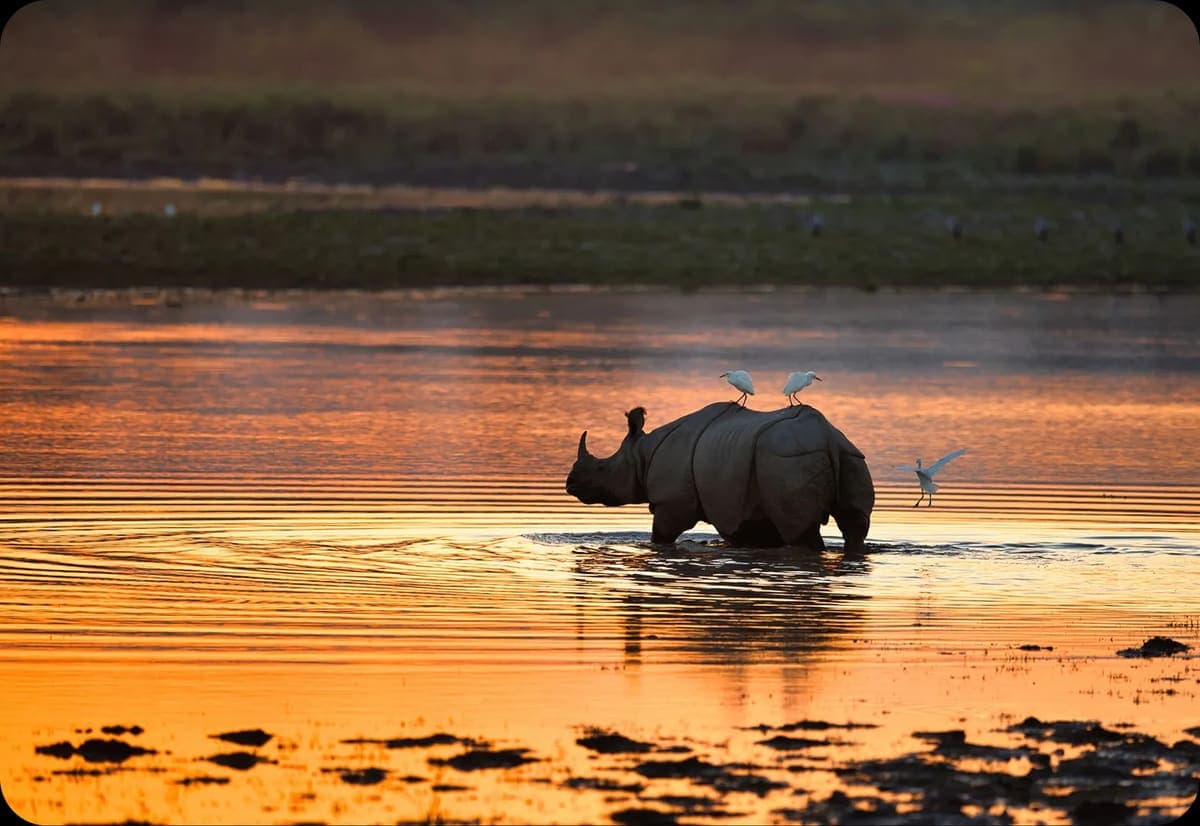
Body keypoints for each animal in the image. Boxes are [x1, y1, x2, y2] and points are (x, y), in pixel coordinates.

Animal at [566, 402, 874, 551]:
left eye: (601, 469)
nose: (570, 484)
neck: (642, 454)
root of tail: (827, 437)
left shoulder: (672, 503)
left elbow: (661, 536)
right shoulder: (743, 506)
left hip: (788, 460)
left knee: (801, 534)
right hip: (849, 456)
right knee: (855, 525)